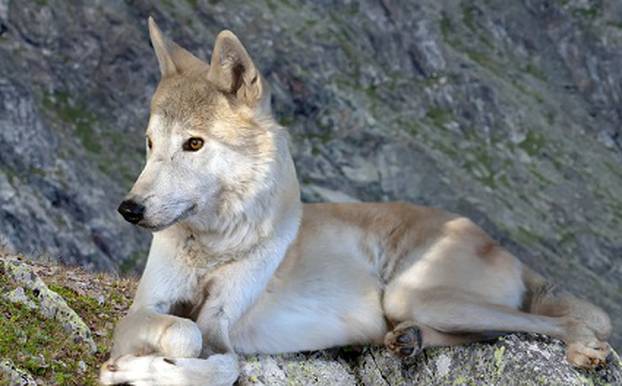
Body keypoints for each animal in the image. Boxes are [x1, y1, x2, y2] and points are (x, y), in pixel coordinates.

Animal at [101, 18, 616, 386]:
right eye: (150, 143)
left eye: (193, 144)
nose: (129, 208)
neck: (217, 245)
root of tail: (496, 243)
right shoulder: (146, 306)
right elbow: (183, 331)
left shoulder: (221, 326)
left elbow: (214, 358)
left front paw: (136, 371)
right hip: (412, 303)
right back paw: (409, 340)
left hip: (416, 293)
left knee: (554, 321)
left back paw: (583, 348)